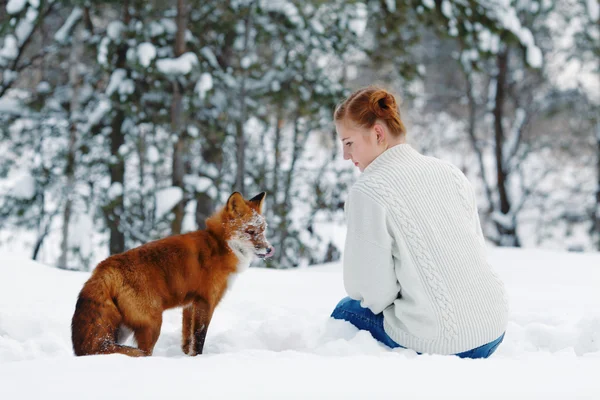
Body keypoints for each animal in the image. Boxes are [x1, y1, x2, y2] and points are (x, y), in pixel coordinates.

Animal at [71, 191, 274, 356]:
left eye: (263, 230)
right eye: (250, 231)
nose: (270, 250)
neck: (220, 245)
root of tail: (103, 267)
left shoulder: (190, 305)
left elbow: (187, 340)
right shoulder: (206, 301)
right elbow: (199, 339)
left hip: (123, 329)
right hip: (152, 325)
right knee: (143, 352)